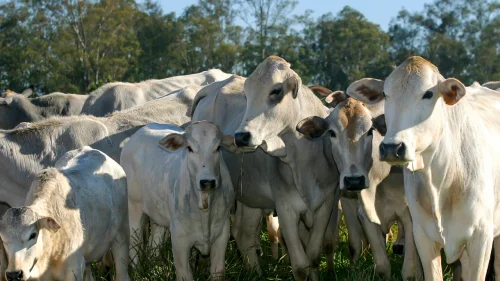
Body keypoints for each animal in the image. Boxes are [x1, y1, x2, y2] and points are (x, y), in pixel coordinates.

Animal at [0, 145, 131, 280]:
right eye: (3, 239)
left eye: (32, 235)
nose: (14, 274)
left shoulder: (75, 267)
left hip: (121, 235)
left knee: (122, 271)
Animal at [122, 121, 237, 280]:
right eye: (190, 148)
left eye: (218, 147)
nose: (207, 182)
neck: (204, 207)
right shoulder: (179, 240)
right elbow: (184, 274)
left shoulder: (222, 234)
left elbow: (217, 271)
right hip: (133, 208)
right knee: (135, 243)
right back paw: (138, 272)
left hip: (158, 216)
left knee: (154, 244)